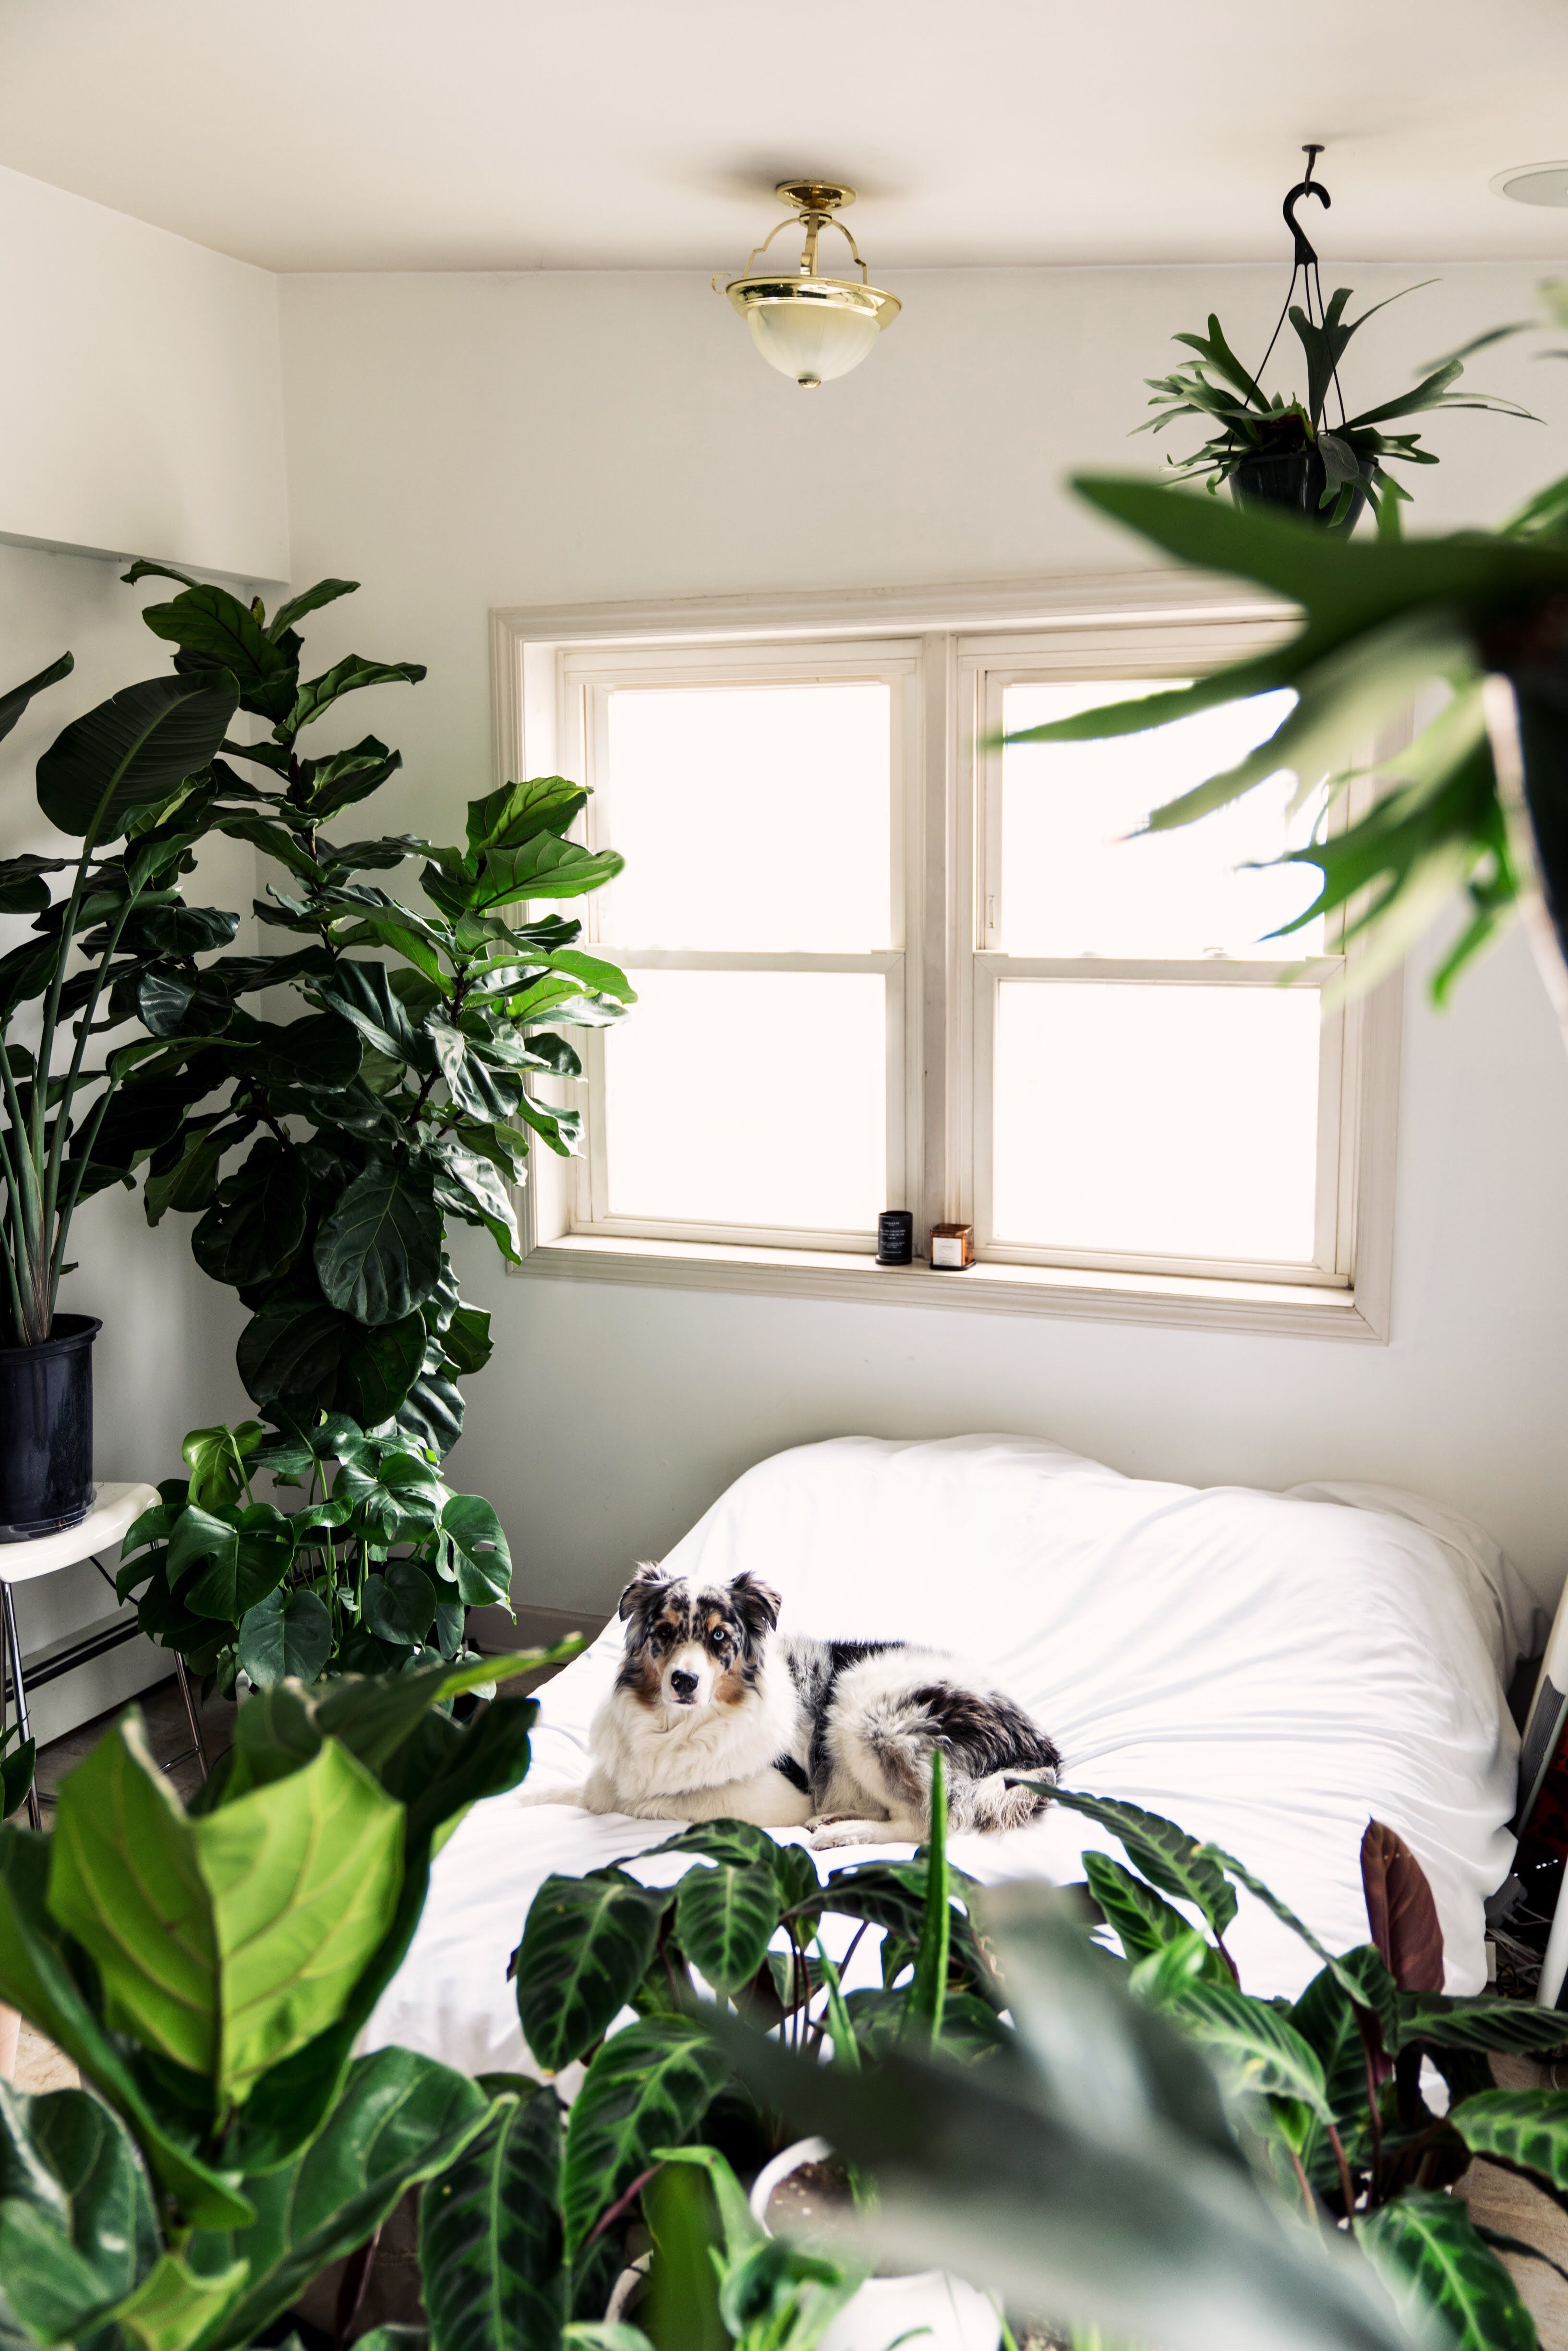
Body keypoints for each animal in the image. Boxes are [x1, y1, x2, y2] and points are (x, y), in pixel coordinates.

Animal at [557, 1561, 1062, 1852]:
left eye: (720, 1636)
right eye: (663, 1632)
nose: (684, 1681)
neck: (682, 1725)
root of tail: (1039, 1745)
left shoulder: (775, 1797)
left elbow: (659, 1800)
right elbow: (581, 1789)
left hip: (863, 1707)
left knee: (926, 1822)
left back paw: (842, 1833)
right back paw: (837, 1817)